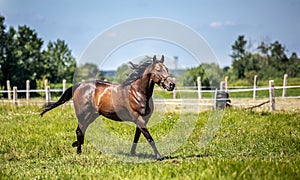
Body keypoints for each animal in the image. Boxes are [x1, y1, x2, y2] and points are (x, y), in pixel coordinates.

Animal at [41, 54, 175, 160]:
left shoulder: (143, 120)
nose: (171, 85)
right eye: (158, 70)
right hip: (83, 115)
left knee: (81, 131)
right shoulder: (138, 119)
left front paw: (132, 153)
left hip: (91, 116)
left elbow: (137, 137)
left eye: (167, 69)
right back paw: (79, 152)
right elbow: (150, 138)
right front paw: (159, 157)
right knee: (79, 131)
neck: (137, 92)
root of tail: (79, 86)